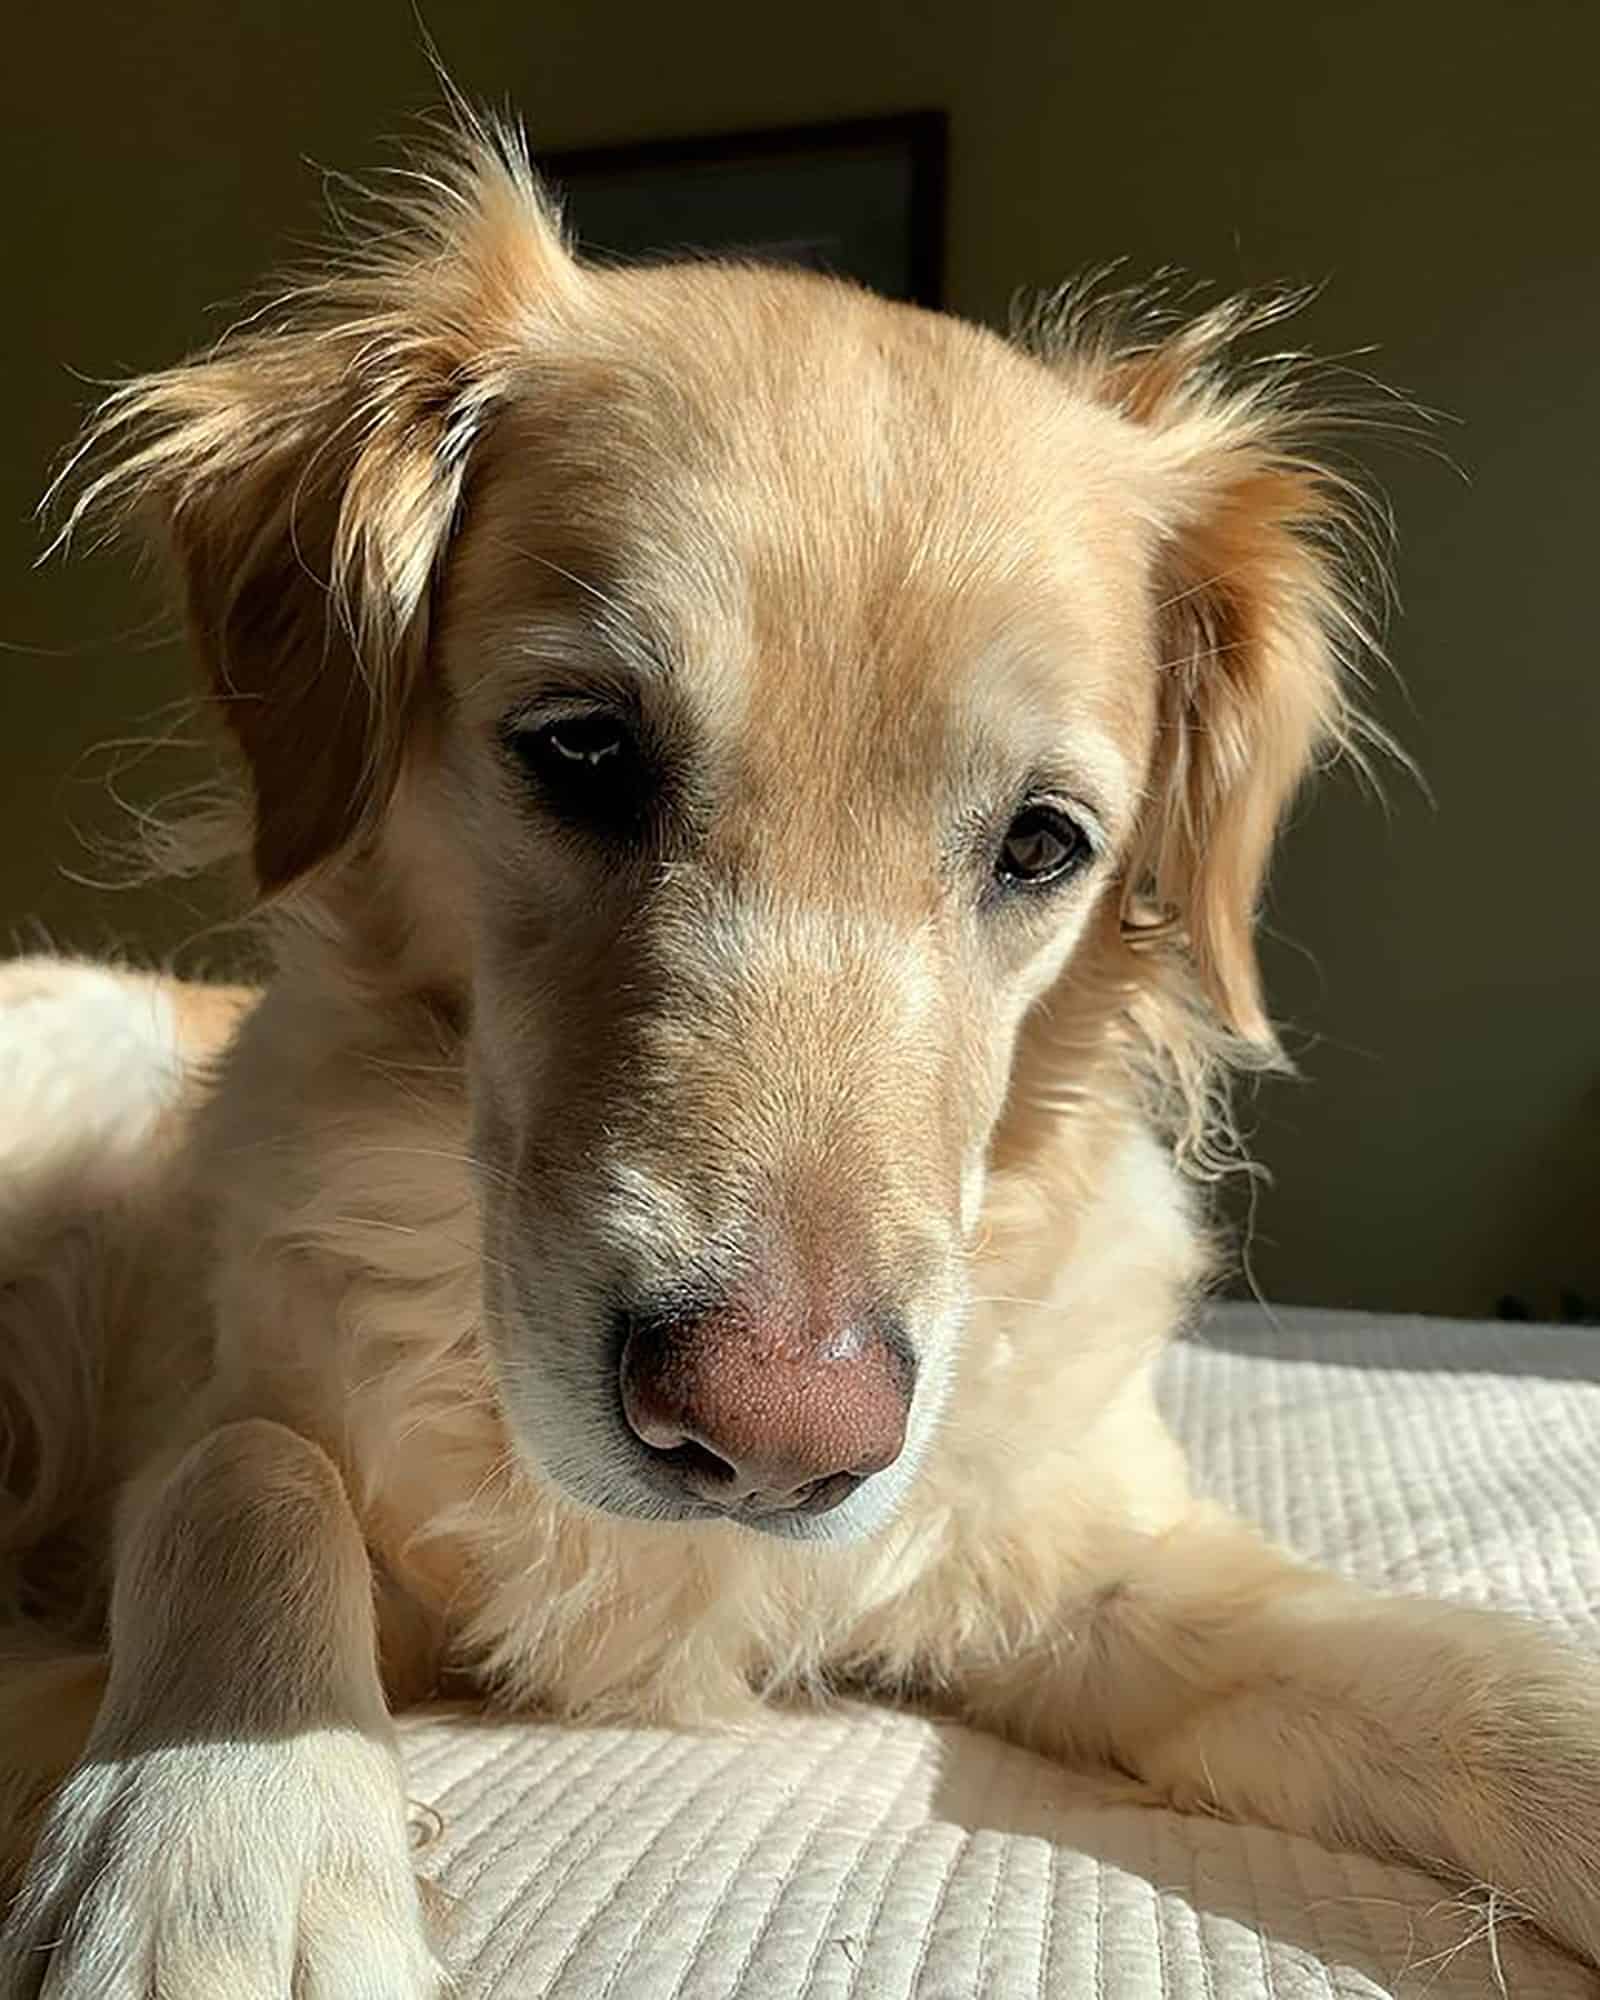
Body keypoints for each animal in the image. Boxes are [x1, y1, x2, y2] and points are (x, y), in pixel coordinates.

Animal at [3, 113, 1600, 2000]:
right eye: (584, 750)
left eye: (1044, 844)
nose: (774, 1444)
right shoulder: (227, 1425)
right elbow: (247, 1472)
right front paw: (218, 1860)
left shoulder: (1102, 1561)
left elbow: (1483, 1682)